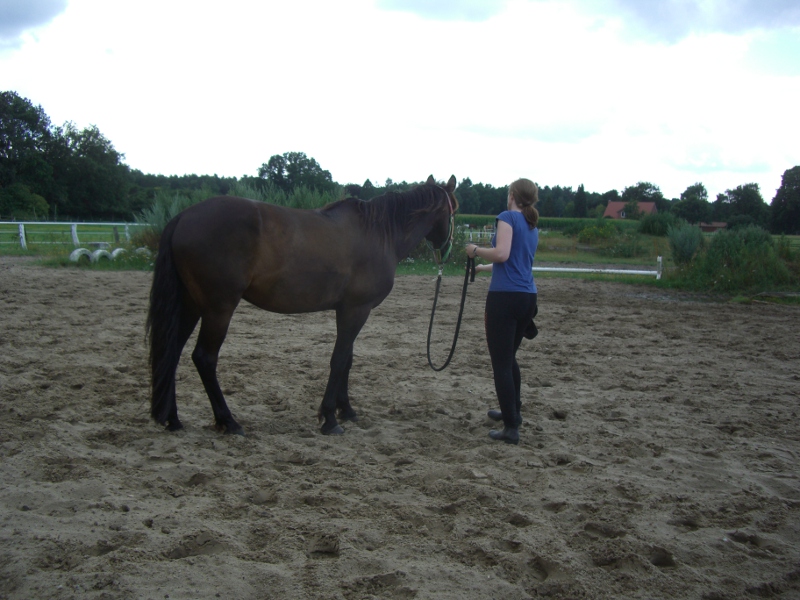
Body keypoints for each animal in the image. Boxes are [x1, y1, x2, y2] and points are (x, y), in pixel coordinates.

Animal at [146, 175, 458, 436]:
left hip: (190, 305)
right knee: (204, 358)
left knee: (171, 351)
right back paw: (229, 421)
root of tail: (183, 217)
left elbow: (347, 358)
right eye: (455, 209)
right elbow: (339, 359)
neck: (379, 233)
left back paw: (172, 418)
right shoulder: (357, 309)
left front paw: (346, 410)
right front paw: (330, 419)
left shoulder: (348, 310)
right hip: (218, 309)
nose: (447, 248)